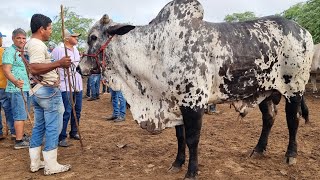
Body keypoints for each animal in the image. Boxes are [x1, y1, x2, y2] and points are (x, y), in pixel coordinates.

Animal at [77, 0, 312, 179]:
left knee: (293, 121)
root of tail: (304, 31)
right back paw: (258, 150)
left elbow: (192, 139)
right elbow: (180, 137)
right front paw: (177, 163)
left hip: (294, 89)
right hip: (265, 92)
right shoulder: (176, 103)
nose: (79, 68)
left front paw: (191, 172)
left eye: (93, 37)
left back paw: (290, 155)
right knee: (269, 118)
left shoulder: (193, 103)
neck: (156, 50)